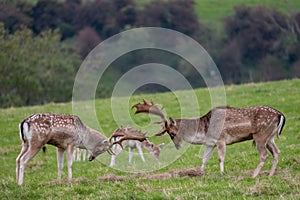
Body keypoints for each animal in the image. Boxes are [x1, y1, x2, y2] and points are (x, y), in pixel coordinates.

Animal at [16, 113, 148, 185]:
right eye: (101, 149)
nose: (91, 158)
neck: (83, 136)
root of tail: (24, 122)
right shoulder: (70, 143)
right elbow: (69, 163)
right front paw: (70, 180)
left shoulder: (60, 146)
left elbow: (60, 165)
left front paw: (58, 181)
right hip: (37, 142)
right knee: (23, 160)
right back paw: (21, 183)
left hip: (25, 143)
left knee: (17, 159)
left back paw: (16, 182)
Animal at [132, 99, 284, 177]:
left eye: (173, 133)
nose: (178, 146)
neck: (204, 131)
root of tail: (280, 115)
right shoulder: (210, 143)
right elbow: (205, 158)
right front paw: (200, 172)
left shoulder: (221, 139)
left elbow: (220, 157)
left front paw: (222, 173)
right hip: (270, 138)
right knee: (277, 152)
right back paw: (270, 174)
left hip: (260, 136)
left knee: (264, 155)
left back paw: (254, 174)